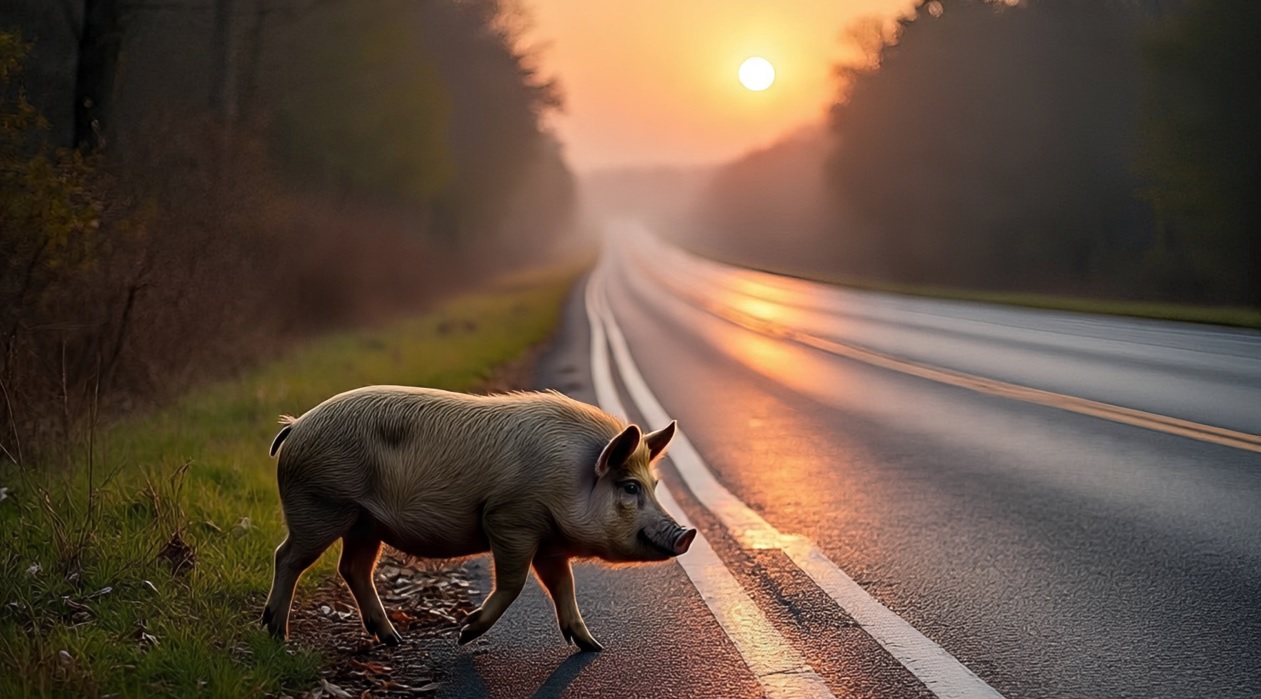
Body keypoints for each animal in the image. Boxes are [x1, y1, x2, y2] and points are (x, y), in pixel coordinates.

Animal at [261, 385, 695, 652]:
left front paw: (593, 646)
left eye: (654, 485)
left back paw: (393, 639)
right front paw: (465, 634)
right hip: (320, 506)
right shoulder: (510, 519)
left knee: (353, 568)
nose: (687, 533)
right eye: (630, 487)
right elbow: (514, 583)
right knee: (287, 556)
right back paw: (277, 634)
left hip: (364, 523)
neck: (571, 478)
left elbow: (564, 586)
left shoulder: (548, 542)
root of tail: (295, 426)